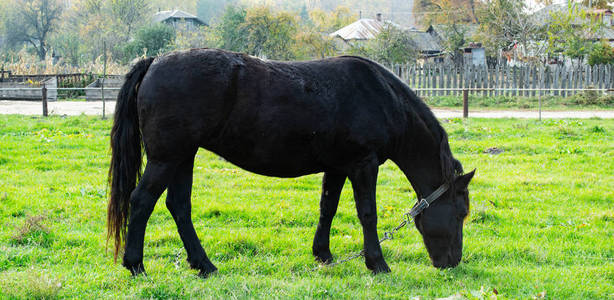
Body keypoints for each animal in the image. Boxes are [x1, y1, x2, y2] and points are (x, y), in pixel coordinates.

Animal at [108, 48, 476, 278]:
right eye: (460, 213)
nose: (452, 263)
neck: (380, 96)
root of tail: (154, 62)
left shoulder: (338, 167)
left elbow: (328, 208)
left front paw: (323, 255)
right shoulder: (363, 165)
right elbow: (367, 213)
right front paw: (377, 263)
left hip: (184, 157)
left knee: (179, 206)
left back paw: (204, 265)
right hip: (166, 158)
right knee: (141, 201)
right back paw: (136, 265)